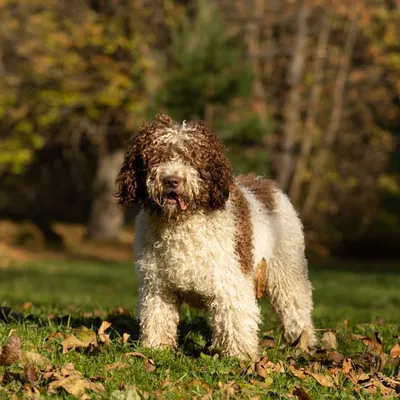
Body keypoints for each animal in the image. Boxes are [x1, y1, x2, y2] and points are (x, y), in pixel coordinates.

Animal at [115, 113, 316, 360]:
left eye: (192, 159)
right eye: (156, 157)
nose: (171, 180)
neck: (181, 223)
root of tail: (265, 183)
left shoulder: (230, 281)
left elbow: (235, 319)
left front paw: (240, 357)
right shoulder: (157, 285)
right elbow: (157, 317)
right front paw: (156, 349)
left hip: (288, 269)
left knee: (296, 306)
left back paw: (304, 343)